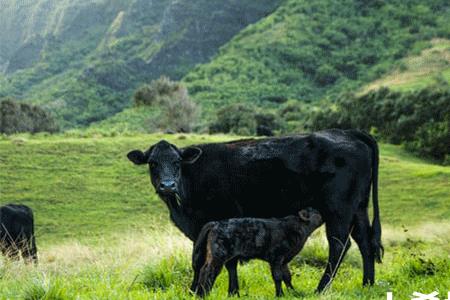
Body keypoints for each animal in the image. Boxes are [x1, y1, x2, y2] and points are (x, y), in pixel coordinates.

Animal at [192, 207, 322, 296]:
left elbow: (287, 276)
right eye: (315, 212)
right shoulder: (276, 258)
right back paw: (203, 295)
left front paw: (294, 293)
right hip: (218, 255)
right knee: (207, 271)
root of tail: (215, 223)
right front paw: (280, 295)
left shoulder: (284, 261)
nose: (321, 213)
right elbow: (278, 276)